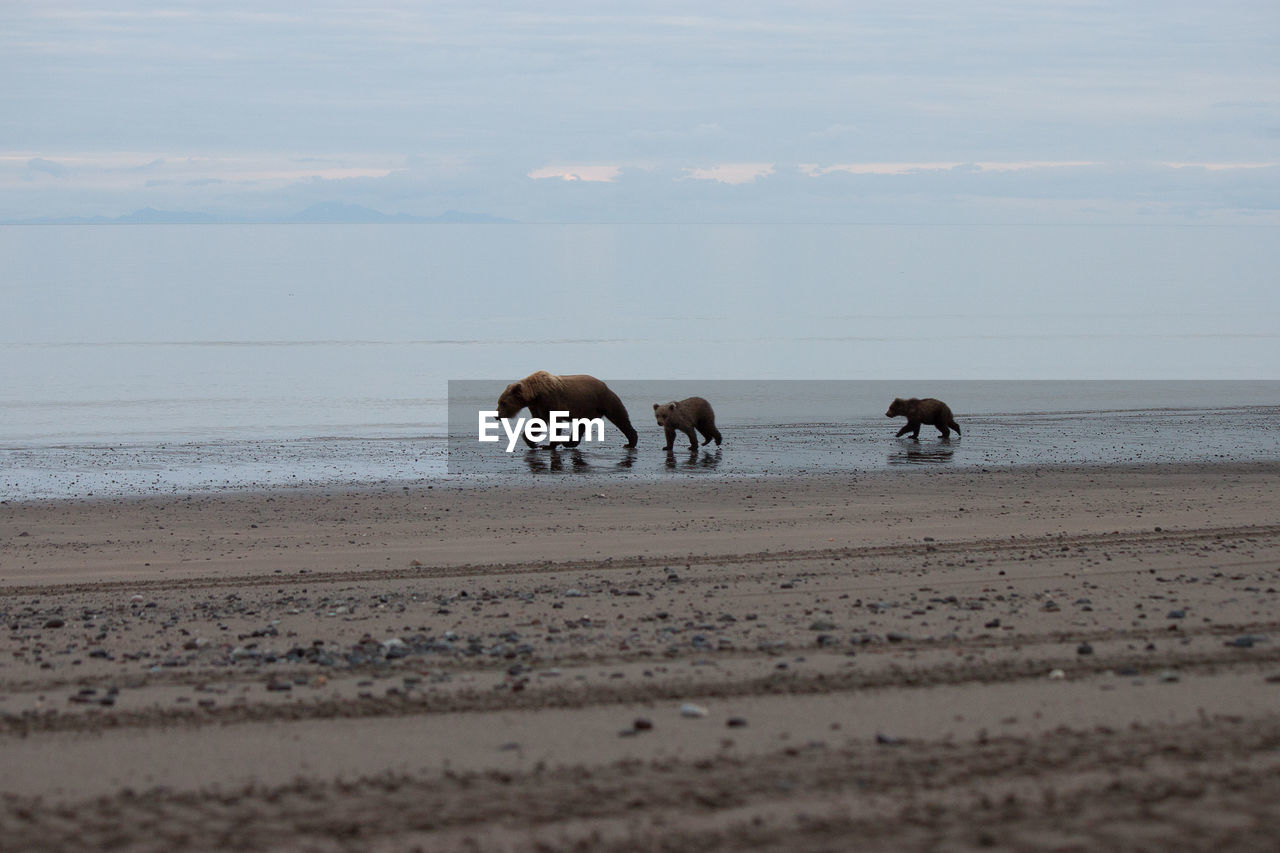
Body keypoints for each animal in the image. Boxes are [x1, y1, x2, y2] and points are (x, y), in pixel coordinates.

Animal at [496, 371, 640, 450]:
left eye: (503, 403)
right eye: (499, 401)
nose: (497, 415)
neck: (535, 394)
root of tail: (605, 385)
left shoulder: (550, 400)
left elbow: (554, 422)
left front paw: (547, 446)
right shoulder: (536, 406)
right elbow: (537, 423)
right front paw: (533, 442)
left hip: (603, 400)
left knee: (620, 417)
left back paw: (630, 442)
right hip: (587, 408)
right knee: (581, 426)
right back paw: (568, 442)